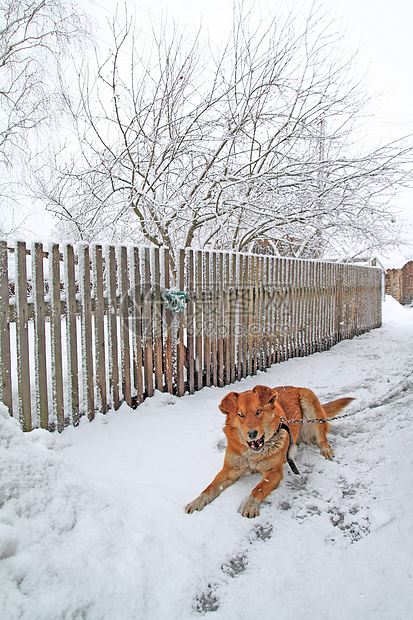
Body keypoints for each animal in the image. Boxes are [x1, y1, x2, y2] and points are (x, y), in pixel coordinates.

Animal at [185, 386, 352, 516]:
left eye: (258, 411)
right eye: (240, 414)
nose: (252, 433)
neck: (252, 454)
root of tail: (295, 387)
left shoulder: (274, 472)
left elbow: (258, 488)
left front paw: (250, 505)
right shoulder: (230, 470)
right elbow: (211, 487)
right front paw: (197, 501)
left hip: (309, 403)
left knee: (321, 435)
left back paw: (326, 449)